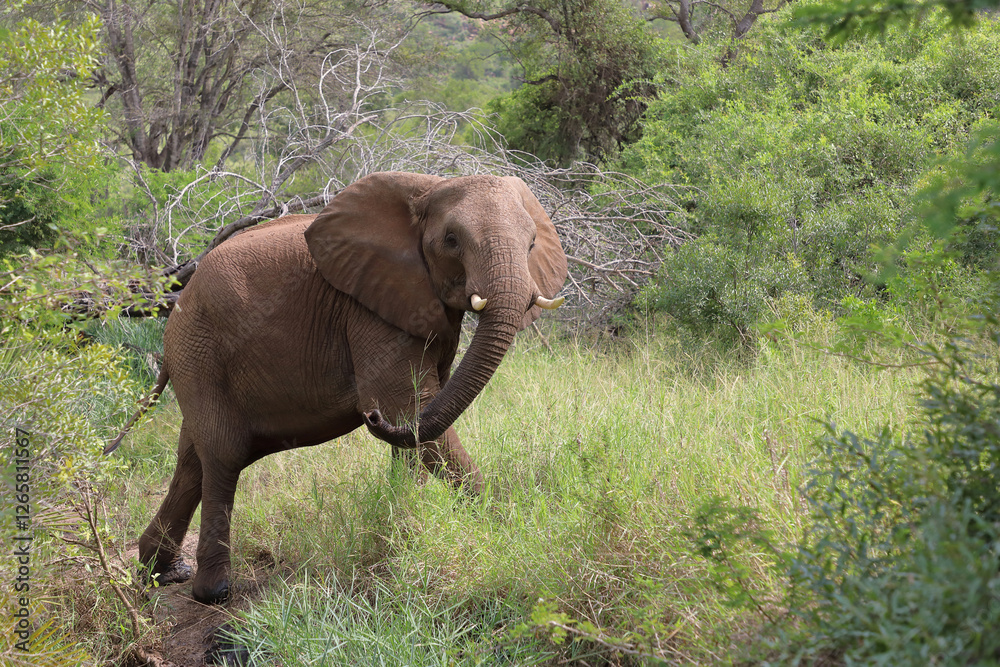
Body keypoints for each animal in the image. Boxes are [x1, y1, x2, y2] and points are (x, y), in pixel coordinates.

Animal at [109, 171, 568, 605]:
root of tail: (175, 305)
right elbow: (408, 408)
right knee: (223, 453)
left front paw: (405, 529)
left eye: (531, 244)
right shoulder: (369, 309)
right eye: (451, 241)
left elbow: (419, 422)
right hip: (200, 350)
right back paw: (213, 592)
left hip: (196, 357)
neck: (428, 188)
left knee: (192, 458)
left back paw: (162, 571)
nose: (370, 415)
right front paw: (506, 525)